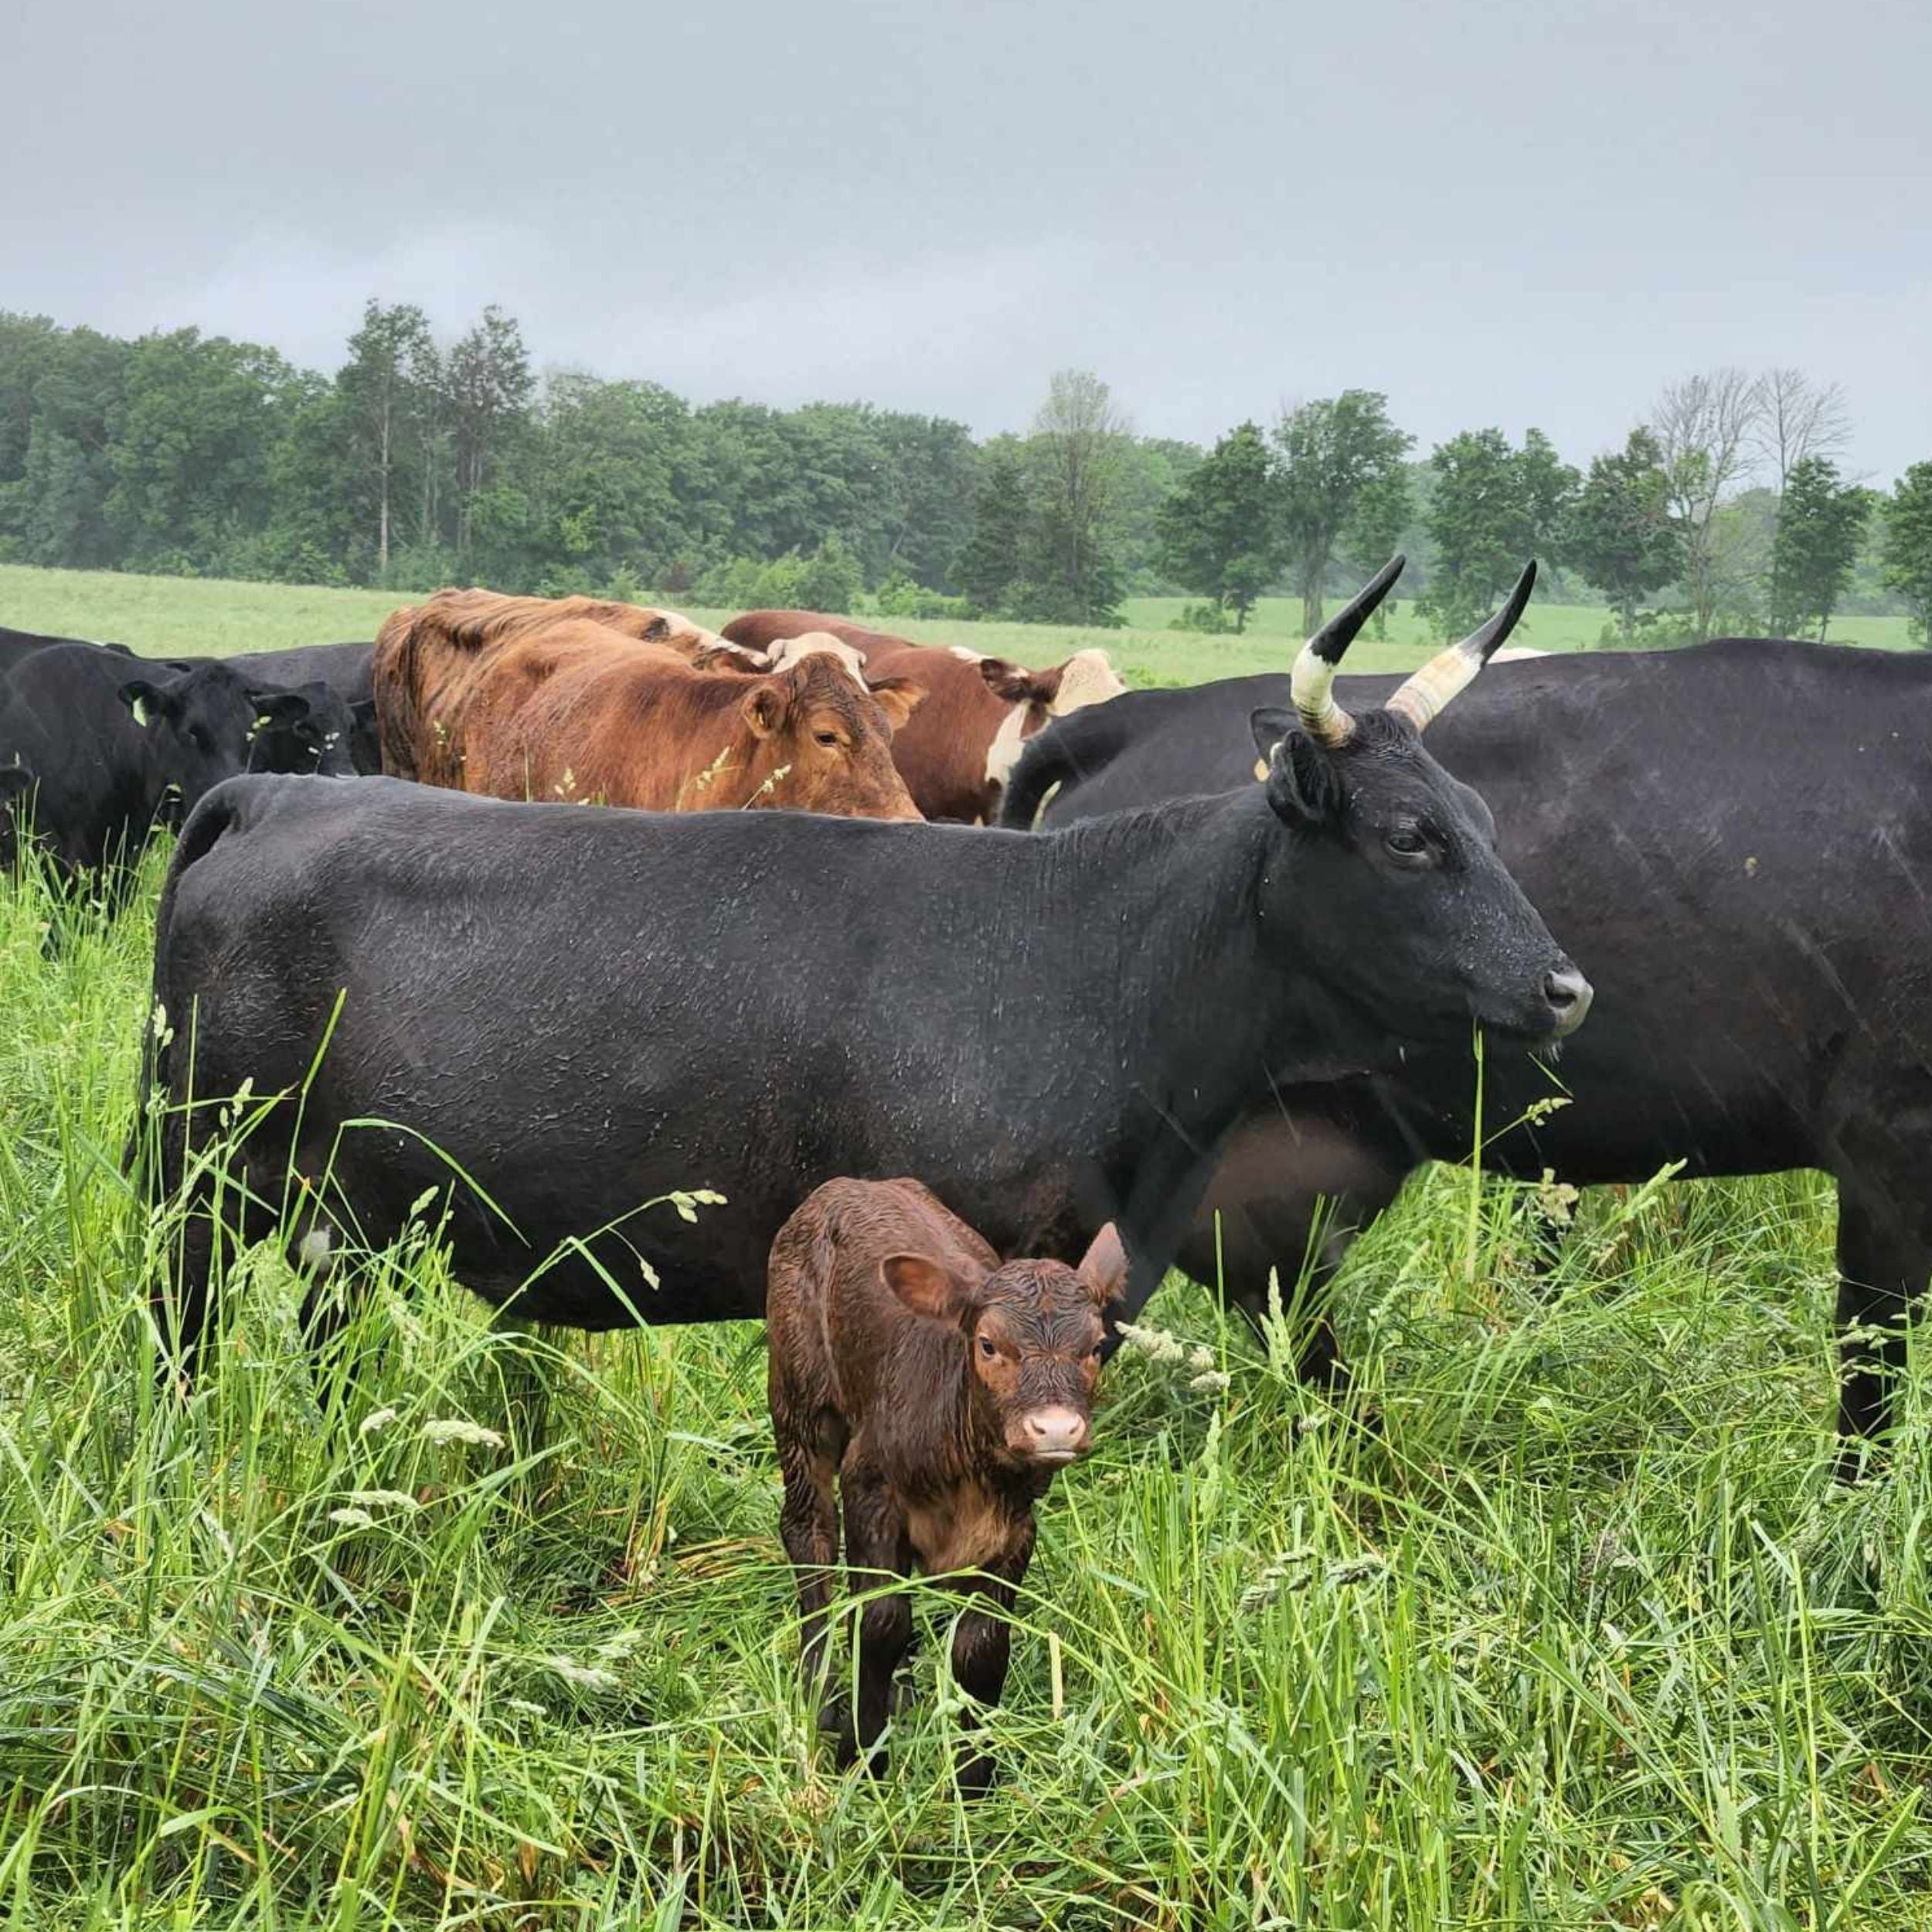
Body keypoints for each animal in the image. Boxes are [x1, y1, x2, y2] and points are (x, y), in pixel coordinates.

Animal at [765, 1175, 1128, 1793]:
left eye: (1095, 1347)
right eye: (988, 1344)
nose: (1055, 1428)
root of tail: (847, 1185)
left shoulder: (1015, 1530)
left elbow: (981, 1648)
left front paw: (975, 1781)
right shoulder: (871, 1488)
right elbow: (879, 1619)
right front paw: (862, 1759)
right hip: (799, 1394)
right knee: (807, 1530)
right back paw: (820, 1690)